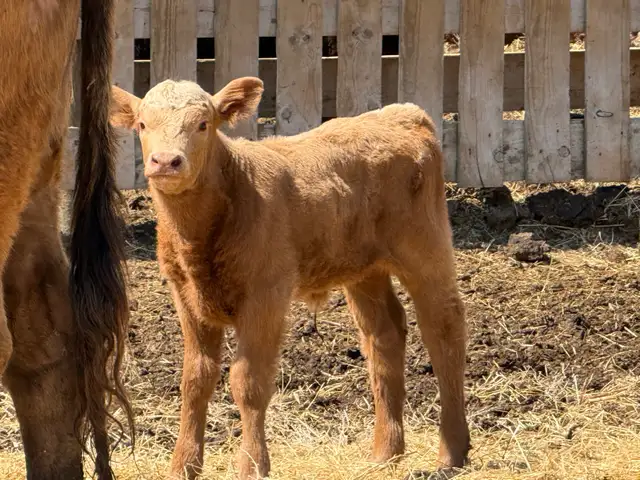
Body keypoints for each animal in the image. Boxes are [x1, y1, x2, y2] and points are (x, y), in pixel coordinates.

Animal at [109, 77, 470, 480]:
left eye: (203, 124)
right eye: (142, 124)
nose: (166, 161)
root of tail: (403, 113)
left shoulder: (266, 294)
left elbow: (248, 382)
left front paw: (253, 465)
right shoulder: (187, 297)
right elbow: (195, 380)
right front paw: (183, 464)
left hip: (425, 247)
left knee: (444, 328)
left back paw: (451, 453)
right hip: (364, 268)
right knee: (384, 335)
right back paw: (385, 452)